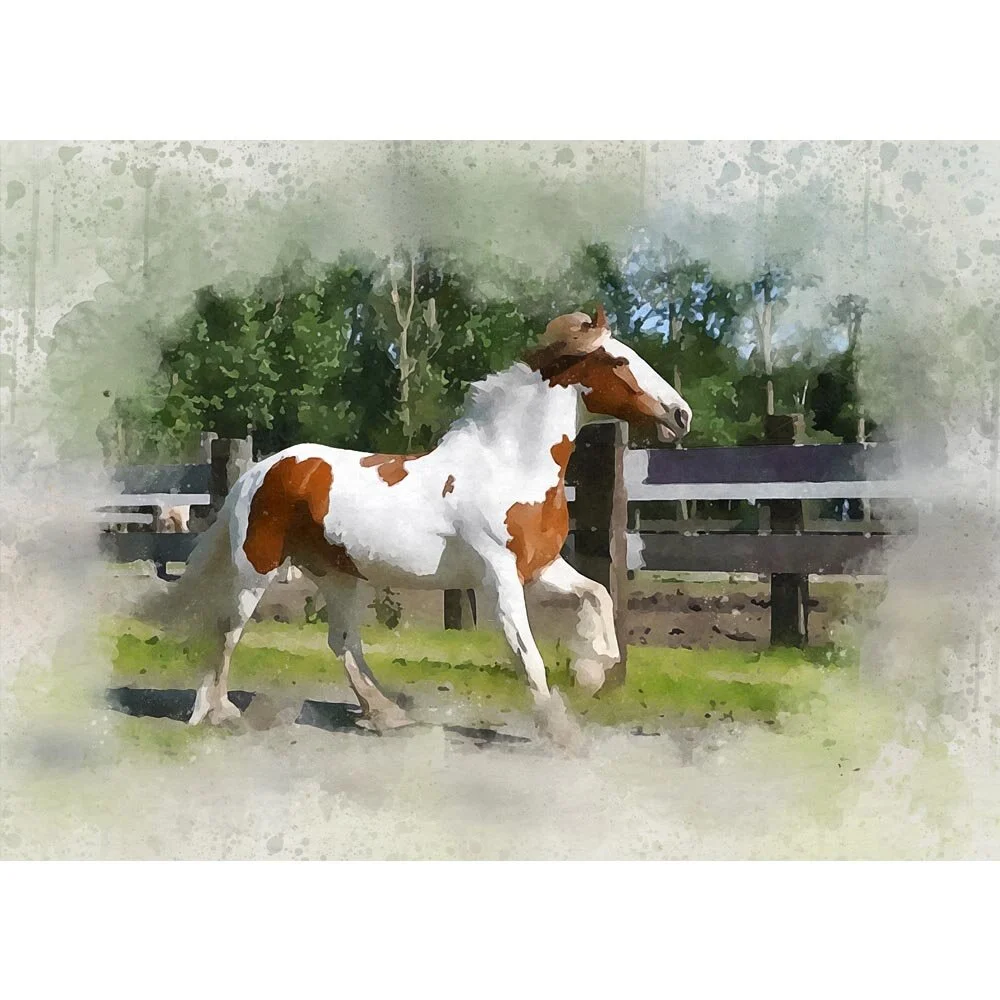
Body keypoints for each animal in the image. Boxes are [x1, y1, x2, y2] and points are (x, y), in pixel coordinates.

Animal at [151, 305, 691, 742]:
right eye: (618, 362)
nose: (681, 415)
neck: (508, 464)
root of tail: (260, 470)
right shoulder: (499, 577)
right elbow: (526, 652)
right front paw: (561, 729)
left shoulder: (538, 568)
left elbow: (596, 596)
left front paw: (592, 670)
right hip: (258, 568)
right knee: (229, 629)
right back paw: (215, 712)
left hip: (339, 575)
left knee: (342, 643)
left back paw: (388, 713)